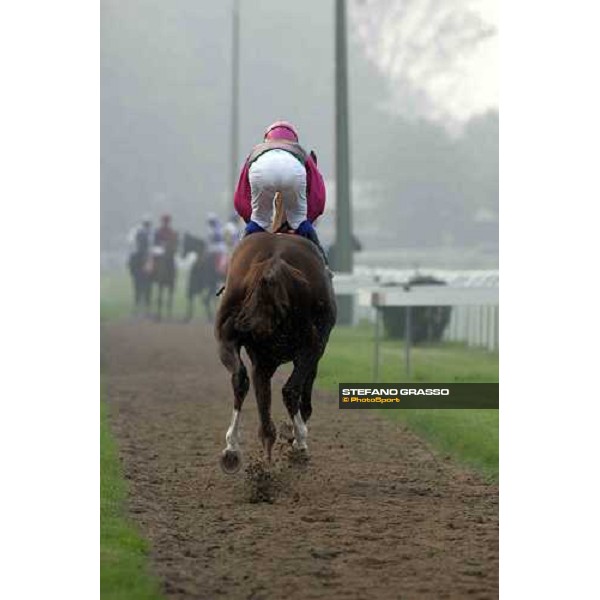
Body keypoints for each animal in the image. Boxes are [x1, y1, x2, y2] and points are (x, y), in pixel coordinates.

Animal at [214, 231, 338, 474]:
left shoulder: (262, 359)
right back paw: (299, 441)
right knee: (291, 390)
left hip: (227, 337)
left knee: (240, 379)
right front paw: (291, 434)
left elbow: (262, 396)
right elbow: (303, 396)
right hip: (311, 344)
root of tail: (273, 266)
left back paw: (234, 450)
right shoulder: (313, 352)